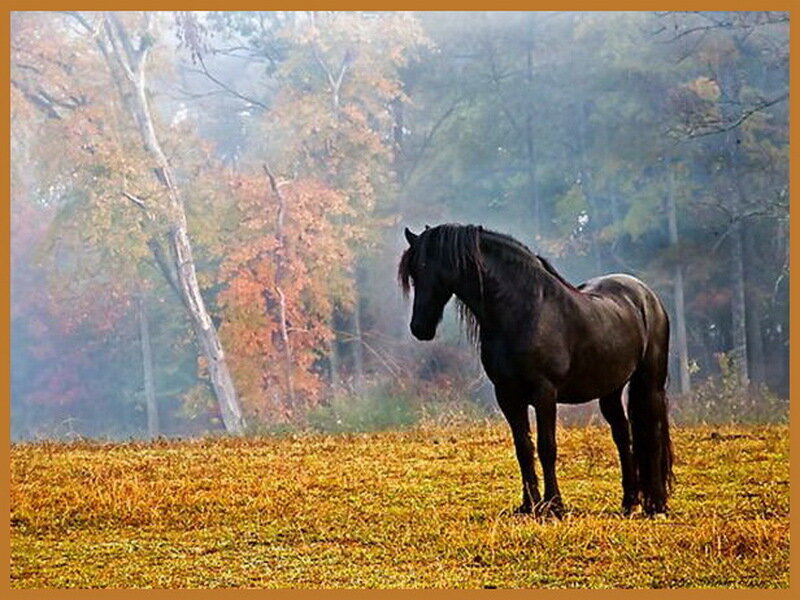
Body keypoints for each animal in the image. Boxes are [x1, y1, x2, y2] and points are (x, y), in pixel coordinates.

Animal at [398, 223, 674, 517]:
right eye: (414, 273)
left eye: (431, 267)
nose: (419, 328)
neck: (525, 311)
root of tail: (646, 295)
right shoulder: (507, 395)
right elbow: (523, 448)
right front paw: (528, 505)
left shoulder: (545, 393)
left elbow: (546, 447)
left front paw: (554, 505)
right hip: (610, 390)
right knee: (622, 435)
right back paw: (629, 502)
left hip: (650, 382)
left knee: (653, 434)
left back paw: (656, 505)